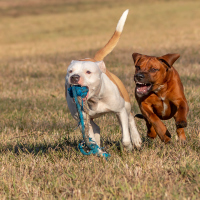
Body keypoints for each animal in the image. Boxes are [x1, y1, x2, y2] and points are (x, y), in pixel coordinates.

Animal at [65, 9, 141, 150]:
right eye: (70, 71)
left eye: (88, 72)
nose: (74, 77)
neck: (94, 100)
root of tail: (94, 59)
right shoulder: (84, 120)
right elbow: (89, 137)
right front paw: (95, 148)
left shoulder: (120, 111)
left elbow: (125, 136)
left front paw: (128, 147)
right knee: (96, 128)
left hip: (126, 104)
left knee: (131, 119)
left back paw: (137, 140)